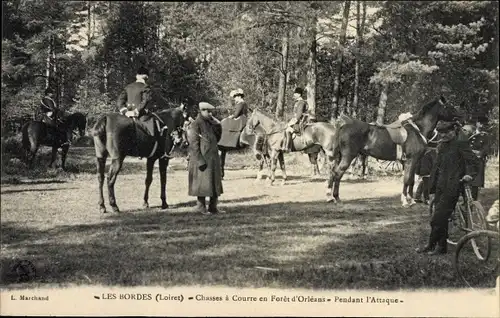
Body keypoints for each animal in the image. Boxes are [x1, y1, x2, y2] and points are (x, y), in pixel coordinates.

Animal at [328, 96, 460, 206]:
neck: (418, 130)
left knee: (333, 172)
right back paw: (337, 198)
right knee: (338, 174)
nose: (460, 118)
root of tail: (343, 126)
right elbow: (407, 179)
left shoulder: (414, 161)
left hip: (341, 157)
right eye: (448, 106)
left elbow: (411, 180)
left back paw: (330, 197)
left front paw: (411, 200)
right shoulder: (410, 160)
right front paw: (405, 201)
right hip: (348, 157)